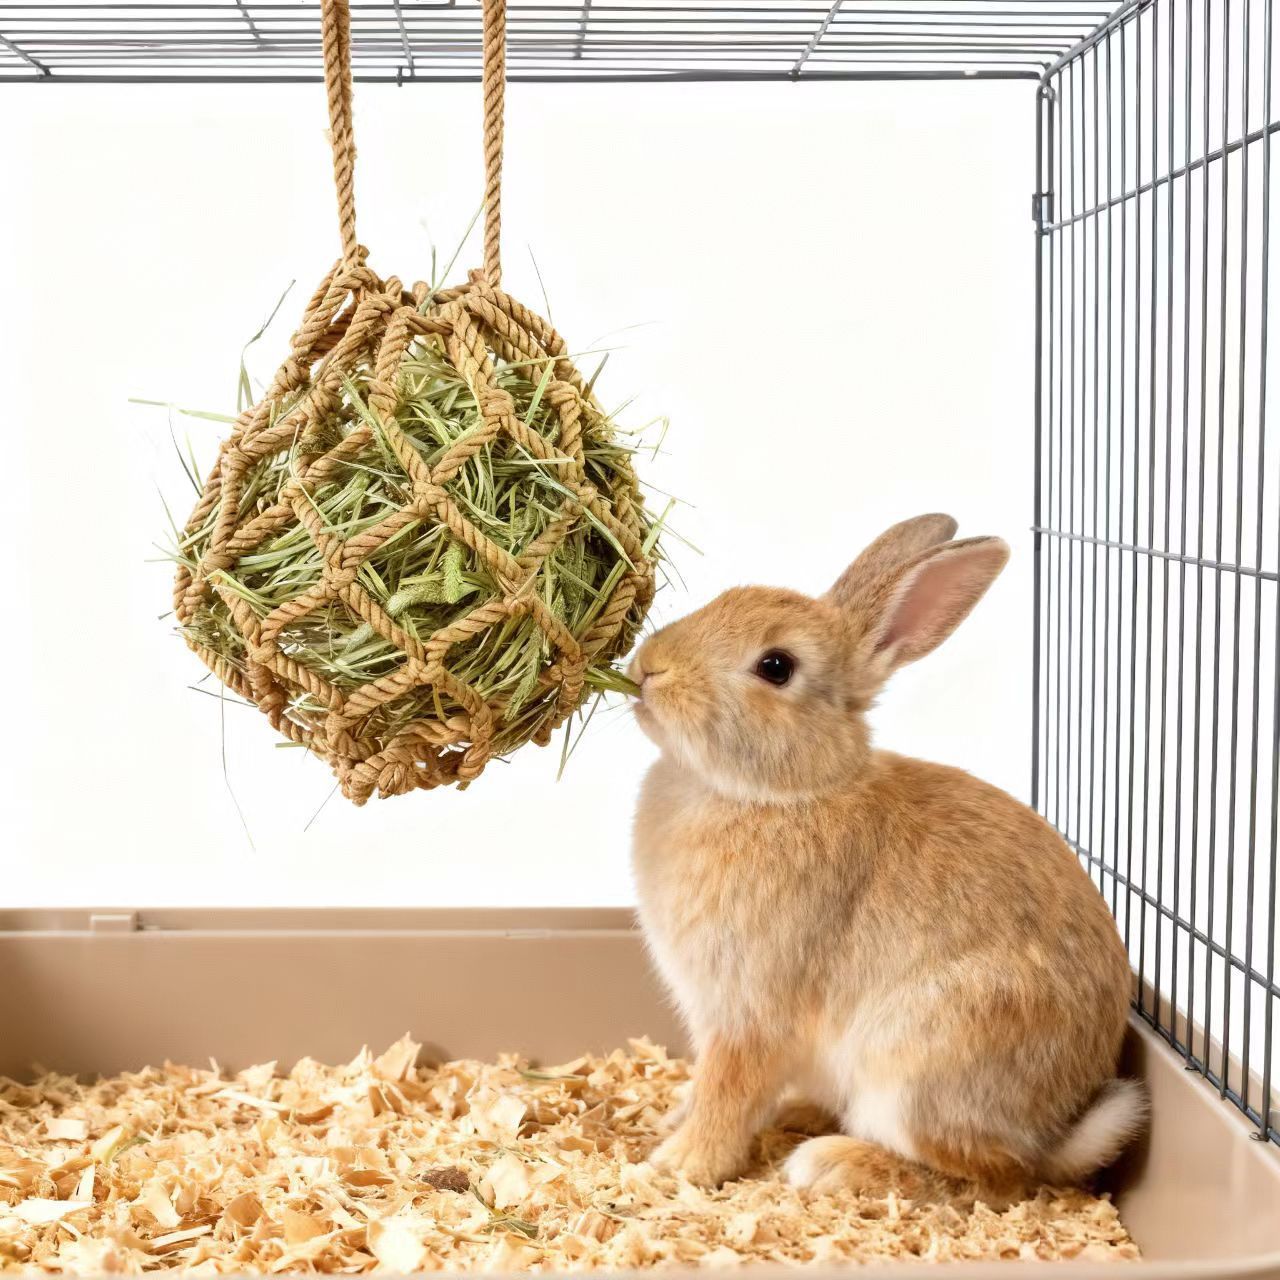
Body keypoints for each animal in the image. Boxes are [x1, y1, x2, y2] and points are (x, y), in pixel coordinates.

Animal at [628, 513, 1144, 1204]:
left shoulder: (749, 1012)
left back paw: (832, 1162)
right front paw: (672, 1118)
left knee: (989, 1177)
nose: (648, 668)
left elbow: (728, 1092)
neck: (786, 792)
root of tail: (1058, 1137)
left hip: (916, 1071)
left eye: (776, 666)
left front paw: (677, 1165)